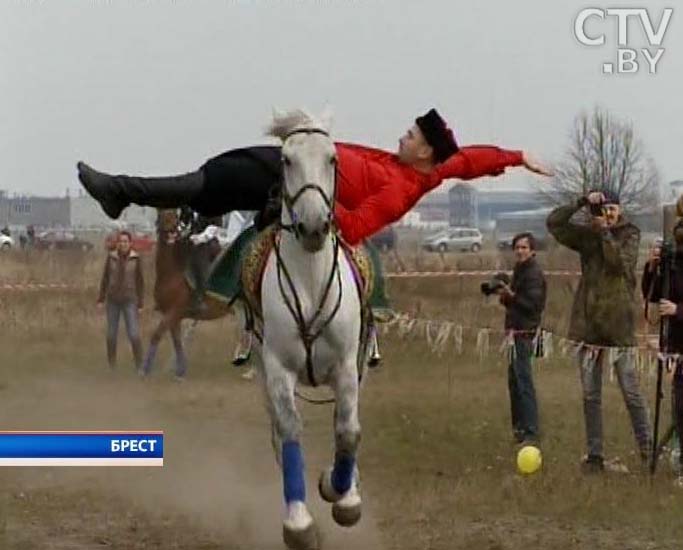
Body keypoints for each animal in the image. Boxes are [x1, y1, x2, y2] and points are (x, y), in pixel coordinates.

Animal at [142, 209, 232, 378]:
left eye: (174, 214)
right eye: (161, 212)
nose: (172, 230)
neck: (173, 271)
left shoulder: (173, 312)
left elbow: (156, 335)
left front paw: (145, 369)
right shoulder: (174, 316)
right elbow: (177, 342)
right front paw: (180, 370)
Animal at [252, 112, 368, 550]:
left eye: (332, 158)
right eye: (286, 160)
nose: (314, 226)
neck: (309, 280)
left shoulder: (345, 365)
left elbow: (348, 431)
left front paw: (342, 495)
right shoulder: (278, 368)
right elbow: (288, 433)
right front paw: (299, 524)